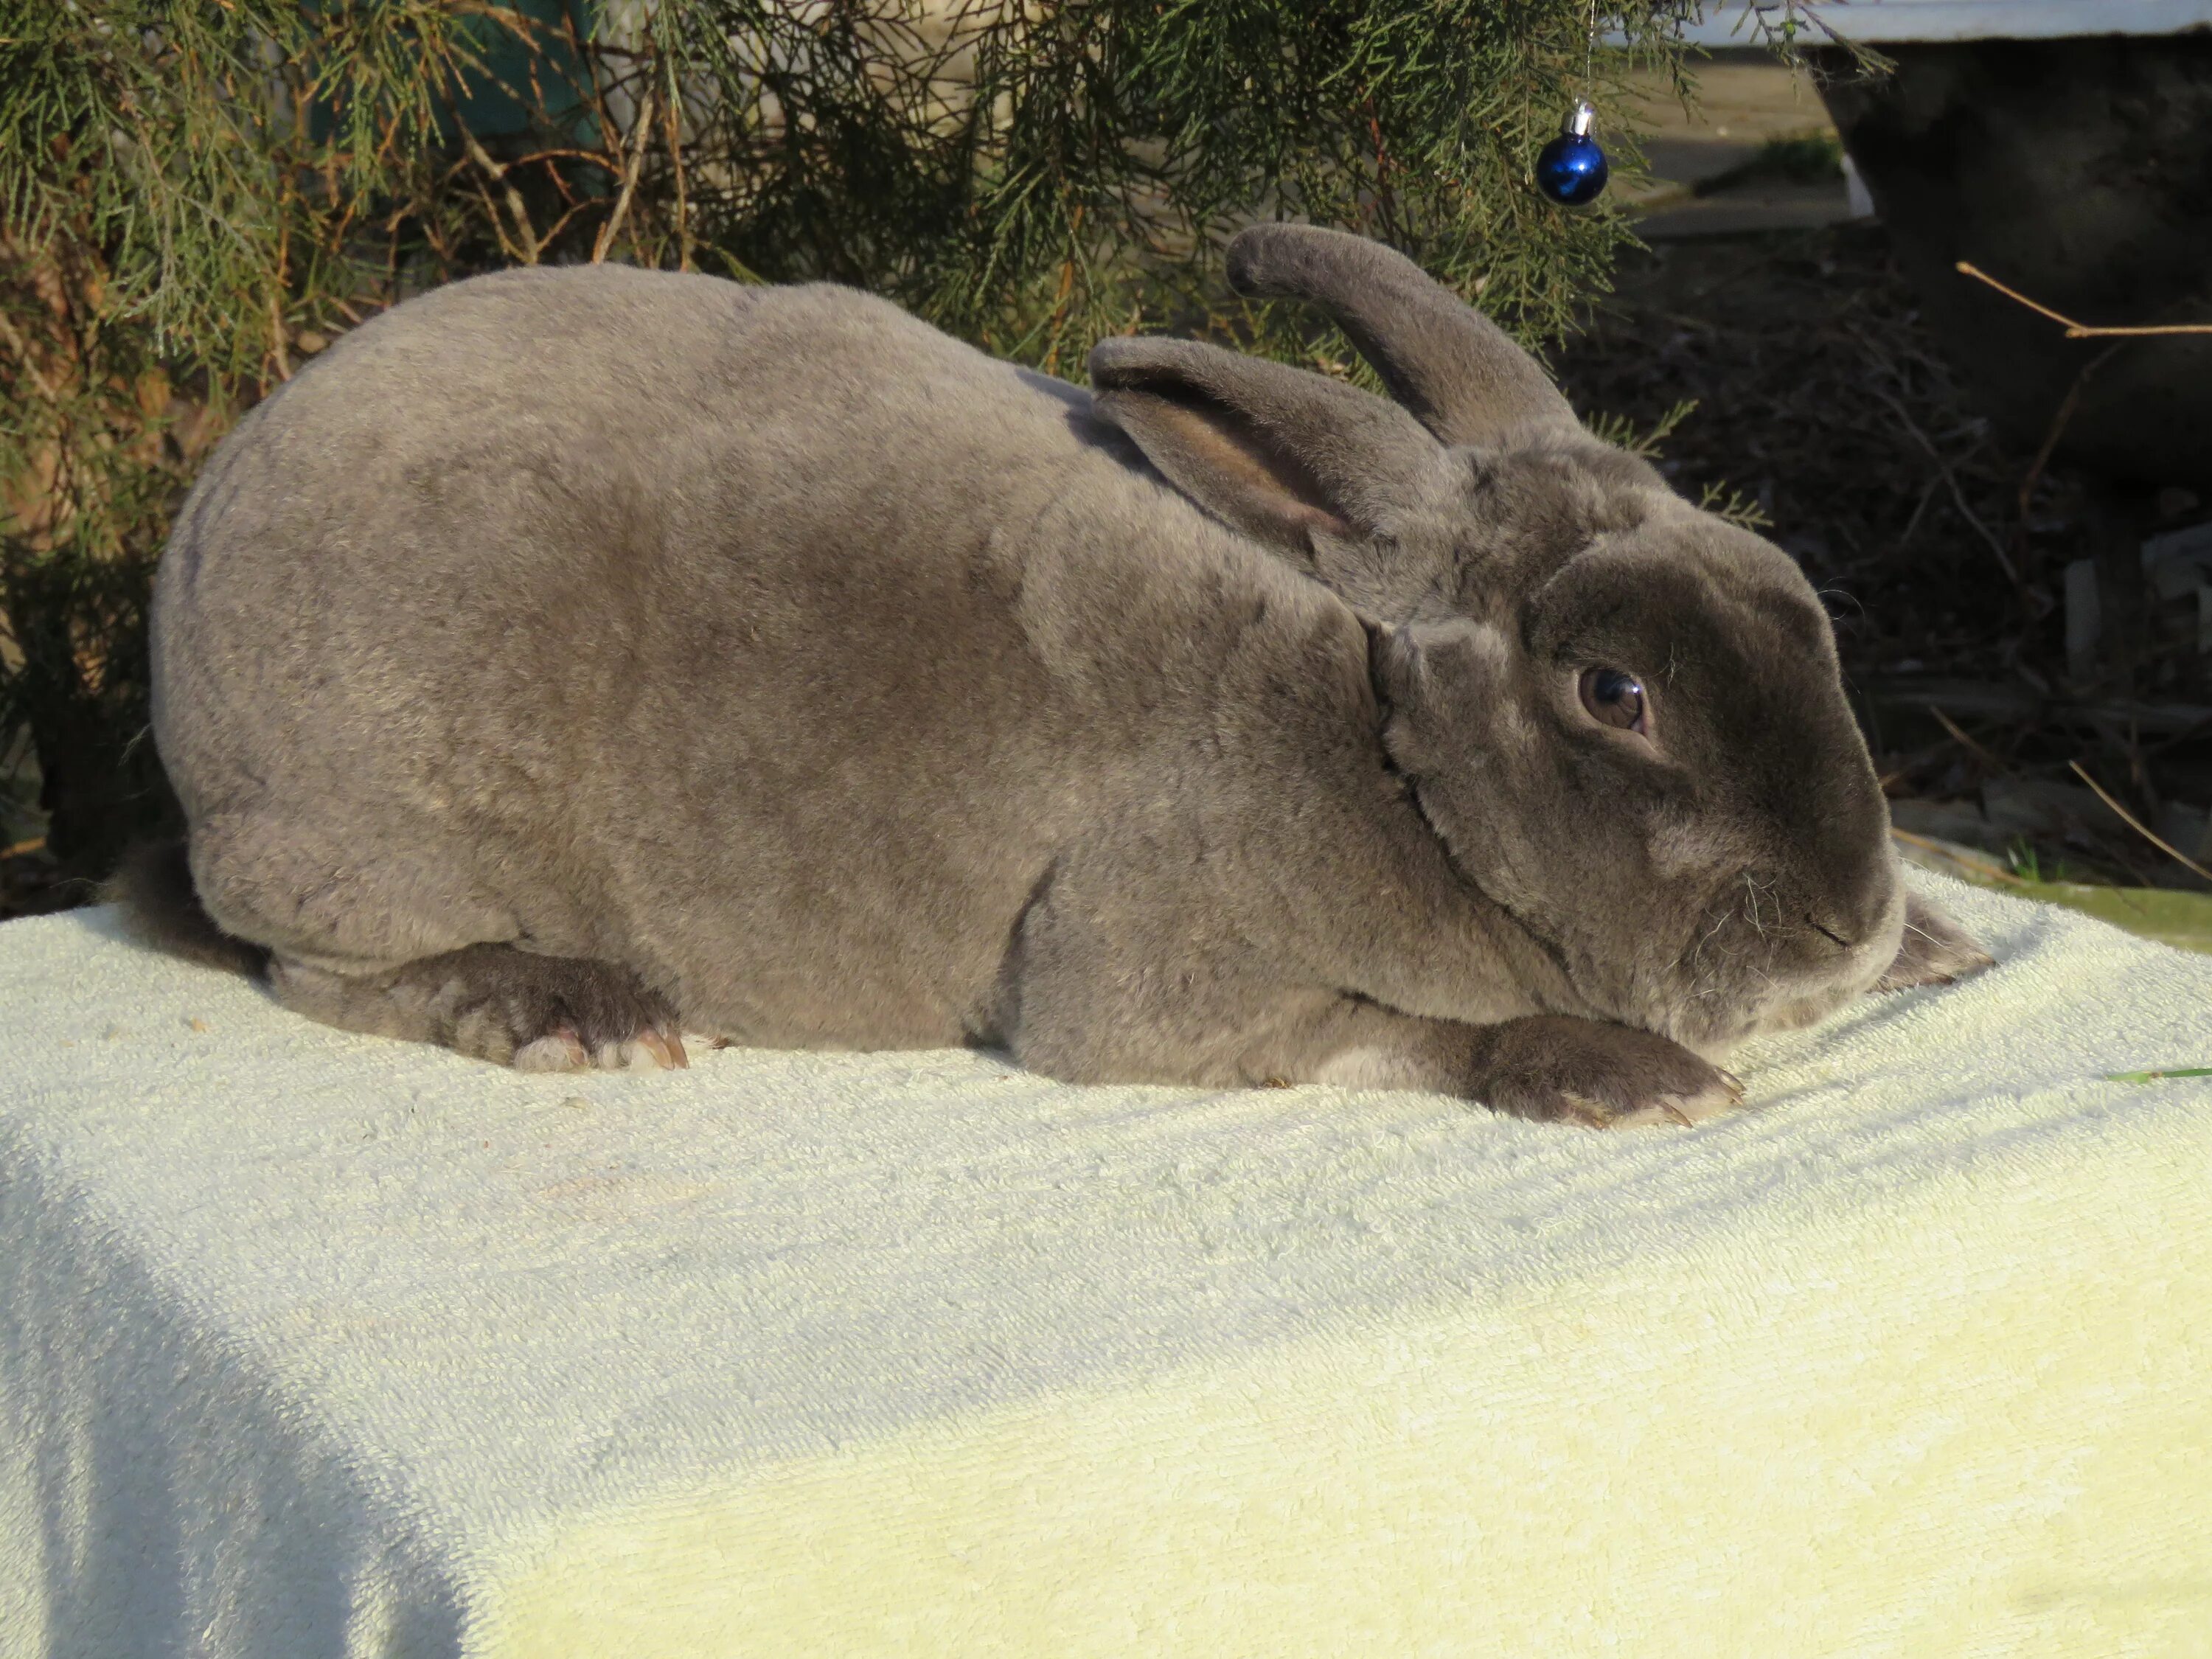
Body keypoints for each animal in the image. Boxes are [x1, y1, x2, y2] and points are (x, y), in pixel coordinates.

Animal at [121, 224, 1991, 1133]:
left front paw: (1941, 945)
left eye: (1796, 607)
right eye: (1614, 694)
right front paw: (1632, 1080)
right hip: (367, 831)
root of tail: (207, 519)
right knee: (317, 971)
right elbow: (1408, 1036)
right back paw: (573, 1012)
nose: (1845, 918)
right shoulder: (1144, 976)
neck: (1392, 754)